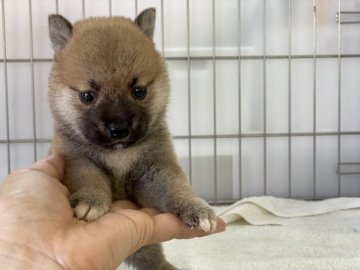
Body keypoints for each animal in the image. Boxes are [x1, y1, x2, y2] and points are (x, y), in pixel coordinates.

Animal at [47, 8, 217, 270]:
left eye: (139, 91)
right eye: (88, 96)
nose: (118, 129)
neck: (119, 153)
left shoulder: (156, 168)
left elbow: (175, 186)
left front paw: (194, 207)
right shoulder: (76, 160)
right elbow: (87, 177)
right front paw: (91, 200)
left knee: (152, 258)